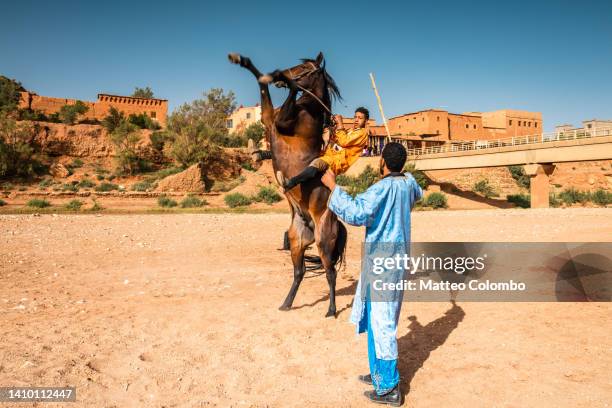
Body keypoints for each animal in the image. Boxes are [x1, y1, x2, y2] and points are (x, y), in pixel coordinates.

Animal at [228, 51, 346, 318]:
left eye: (304, 68)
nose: (282, 74)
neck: (309, 107)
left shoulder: (280, 122)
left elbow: (285, 89)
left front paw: (279, 78)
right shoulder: (269, 118)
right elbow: (260, 86)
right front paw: (243, 61)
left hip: (324, 242)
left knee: (330, 273)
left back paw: (331, 310)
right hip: (296, 242)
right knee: (300, 272)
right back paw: (286, 303)